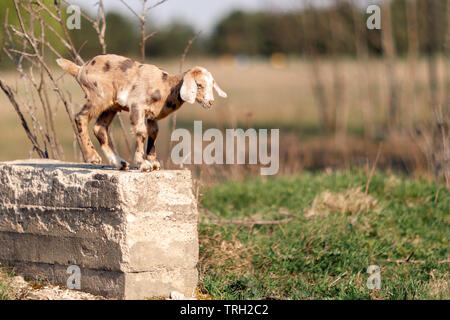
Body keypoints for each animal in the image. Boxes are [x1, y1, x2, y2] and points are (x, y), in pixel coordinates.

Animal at [58, 53, 227, 171]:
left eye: (212, 84)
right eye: (199, 85)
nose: (210, 102)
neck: (166, 86)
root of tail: (80, 70)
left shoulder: (152, 115)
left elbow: (154, 132)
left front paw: (153, 162)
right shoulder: (137, 106)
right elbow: (141, 132)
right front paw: (143, 163)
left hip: (111, 105)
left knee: (100, 128)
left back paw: (119, 163)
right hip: (99, 95)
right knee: (80, 117)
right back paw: (92, 157)